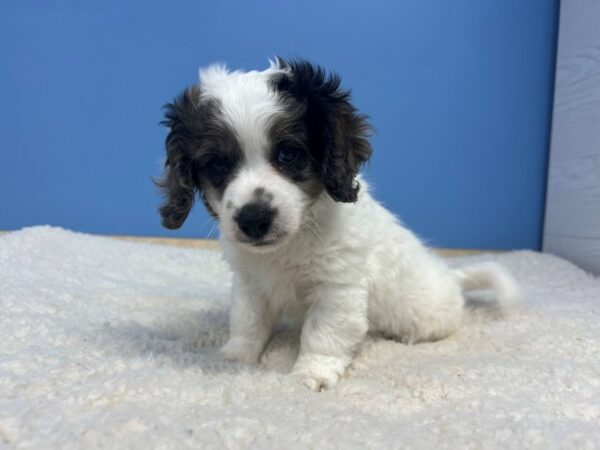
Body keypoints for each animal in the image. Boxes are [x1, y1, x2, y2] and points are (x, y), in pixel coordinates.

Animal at [157, 59, 516, 390]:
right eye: (217, 164)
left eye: (289, 154)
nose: (254, 219)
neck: (292, 242)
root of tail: (451, 276)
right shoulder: (249, 282)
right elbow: (247, 321)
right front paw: (235, 357)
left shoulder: (338, 288)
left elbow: (323, 334)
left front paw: (310, 375)